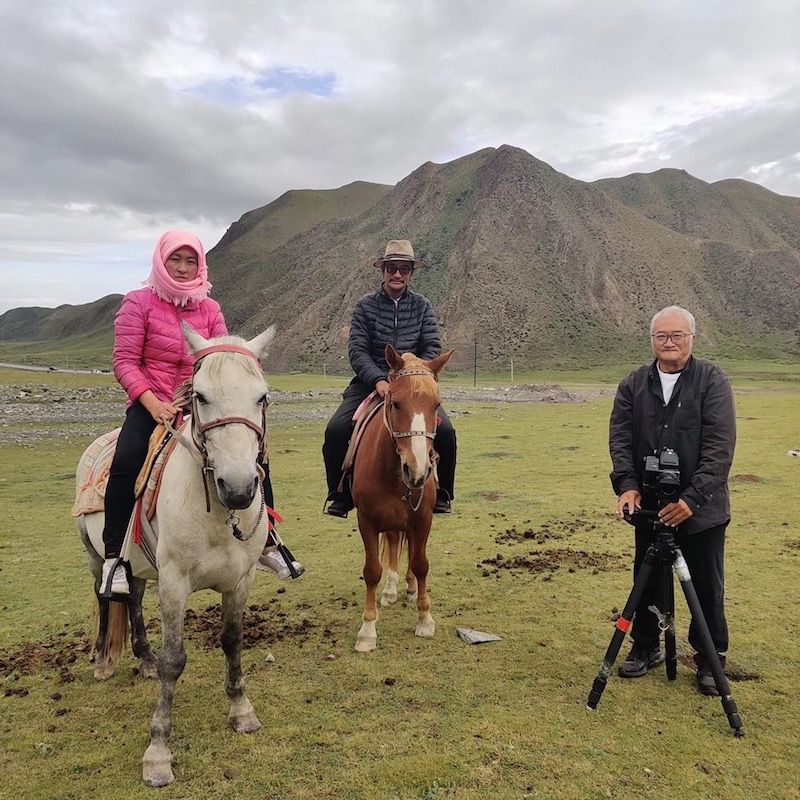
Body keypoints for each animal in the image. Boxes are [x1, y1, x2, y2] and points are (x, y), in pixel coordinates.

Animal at [76, 320, 276, 788]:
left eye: (262, 396)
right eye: (199, 395)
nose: (238, 489)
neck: (218, 516)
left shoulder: (240, 581)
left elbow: (232, 641)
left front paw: (241, 712)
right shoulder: (174, 583)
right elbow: (175, 660)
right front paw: (158, 751)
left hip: (138, 564)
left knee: (131, 595)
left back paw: (143, 659)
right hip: (96, 556)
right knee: (104, 595)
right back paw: (102, 662)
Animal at [354, 344, 454, 648]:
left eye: (436, 404)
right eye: (396, 403)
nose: (418, 471)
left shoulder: (422, 519)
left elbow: (421, 564)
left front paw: (425, 619)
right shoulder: (366, 521)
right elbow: (372, 571)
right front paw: (367, 629)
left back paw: (408, 588)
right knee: (394, 544)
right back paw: (390, 590)